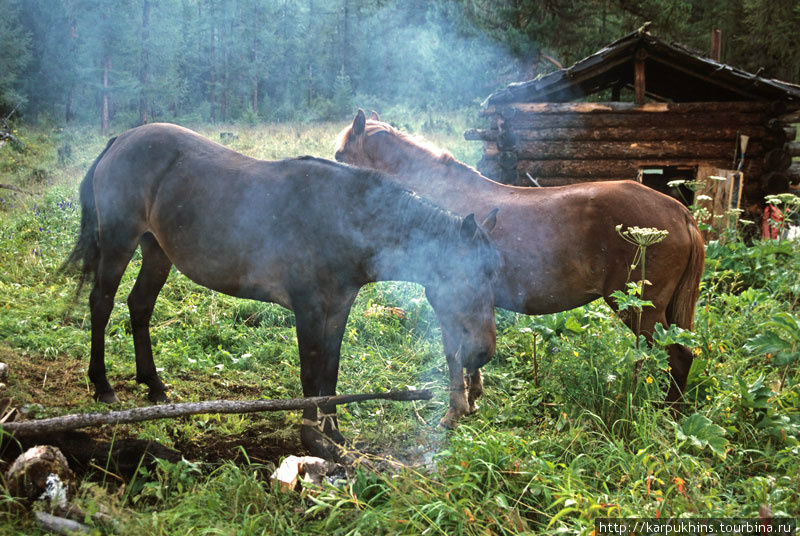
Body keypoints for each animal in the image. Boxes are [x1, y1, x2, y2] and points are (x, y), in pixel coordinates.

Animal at [64, 123, 500, 458]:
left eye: (493, 275)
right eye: (469, 278)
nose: (483, 353)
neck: (344, 219)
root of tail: (121, 139)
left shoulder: (338, 308)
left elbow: (330, 374)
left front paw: (334, 434)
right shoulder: (308, 309)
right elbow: (310, 375)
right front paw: (312, 439)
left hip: (156, 250)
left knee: (139, 306)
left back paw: (154, 386)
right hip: (119, 240)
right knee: (101, 304)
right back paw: (102, 386)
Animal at [334, 108, 704, 418]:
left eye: (339, 155)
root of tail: (681, 213)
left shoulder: (448, 299)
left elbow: (453, 354)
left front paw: (455, 411)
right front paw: (474, 398)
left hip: (641, 309)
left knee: (677, 356)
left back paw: (669, 415)